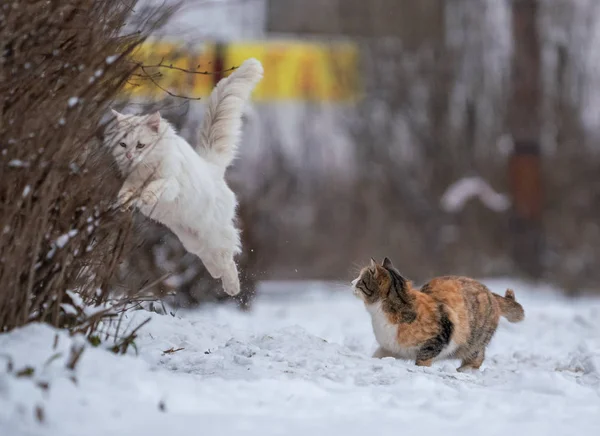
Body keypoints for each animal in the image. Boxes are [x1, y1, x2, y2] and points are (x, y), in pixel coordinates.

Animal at [109, 57, 264, 296]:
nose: (129, 155)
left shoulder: (170, 182)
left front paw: (147, 196)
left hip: (213, 232)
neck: (143, 169)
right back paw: (218, 276)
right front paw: (124, 202)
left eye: (140, 145)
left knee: (228, 255)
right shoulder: (132, 181)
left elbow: (156, 186)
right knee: (210, 257)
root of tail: (211, 167)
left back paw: (232, 287)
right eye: (123, 144)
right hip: (191, 239)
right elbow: (127, 190)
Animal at [354, 258, 524, 372]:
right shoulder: (390, 347)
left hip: (474, 340)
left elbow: (423, 357)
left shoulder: (440, 335)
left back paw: (465, 370)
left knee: (477, 356)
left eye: (360, 279)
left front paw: (421, 369)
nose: (352, 282)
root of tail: (491, 293)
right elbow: (378, 354)